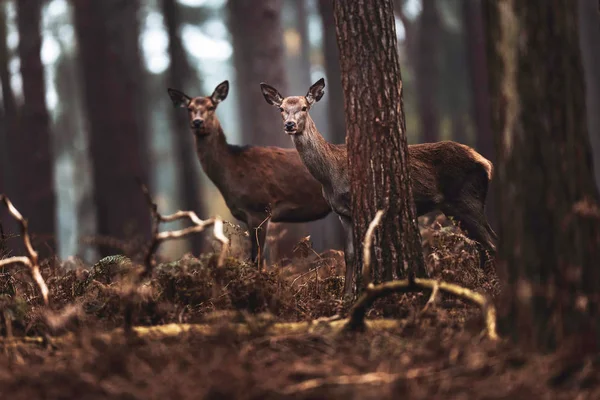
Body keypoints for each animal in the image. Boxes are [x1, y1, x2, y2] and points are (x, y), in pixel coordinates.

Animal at [260, 79, 500, 296]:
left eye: (304, 107)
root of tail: (487, 164)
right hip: (454, 207)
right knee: (480, 243)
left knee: (491, 241)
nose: (289, 125)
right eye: (281, 109)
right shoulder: (341, 213)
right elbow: (349, 254)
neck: (330, 176)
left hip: (467, 199)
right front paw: (346, 296)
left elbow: (362, 251)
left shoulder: (356, 204)